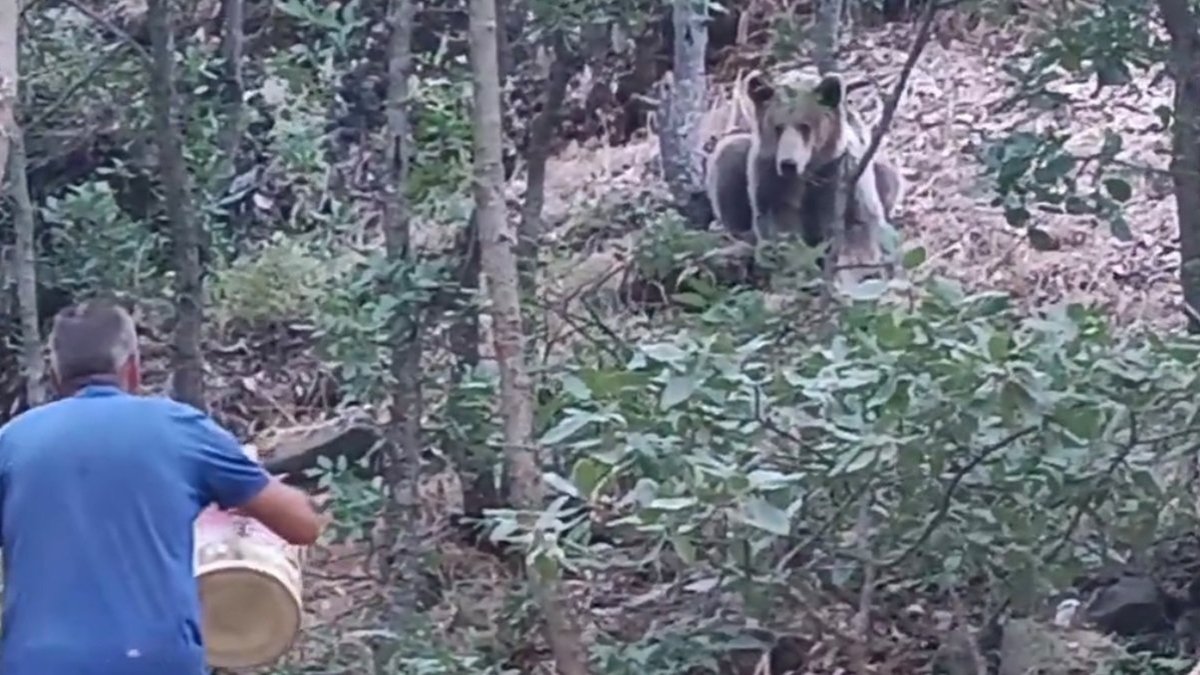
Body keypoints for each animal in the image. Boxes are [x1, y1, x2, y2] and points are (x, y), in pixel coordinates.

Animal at [700, 70, 902, 260]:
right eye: (778, 127)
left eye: (805, 126)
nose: (788, 163)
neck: (807, 173)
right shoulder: (770, 178)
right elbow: (778, 225)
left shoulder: (840, 173)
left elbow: (857, 226)